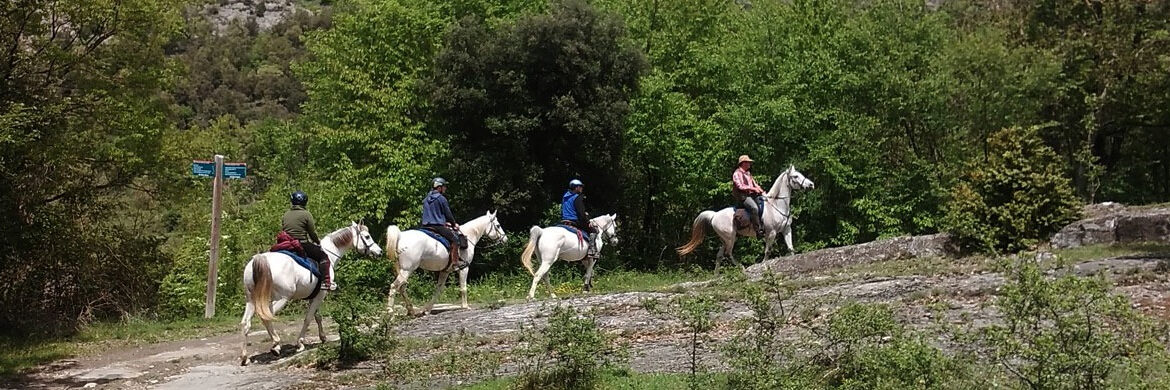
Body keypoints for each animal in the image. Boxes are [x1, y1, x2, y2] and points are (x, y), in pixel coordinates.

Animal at [239, 221, 381, 365]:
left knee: (246, 323)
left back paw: (245, 357)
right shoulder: (321, 294)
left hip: (251, 300)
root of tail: (261, 259)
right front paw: (300, 343)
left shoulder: (315, 295)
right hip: (282, 298)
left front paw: (323, 337)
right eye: (367, 236)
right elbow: (308, 318)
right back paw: (276, 345)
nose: (379, 252)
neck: (329, 254)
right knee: (266, 317)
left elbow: (317, 316)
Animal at [678, 165, 814, 269]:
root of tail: (715, 215)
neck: (776, 205)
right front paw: (763, 264)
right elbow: (767, 251)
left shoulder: (786, 230)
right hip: (730, 238)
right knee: (728, 253)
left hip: (725, 239)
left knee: (719, 256)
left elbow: (791, 249)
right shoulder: (771, 233)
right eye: (795, 176)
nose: (811, 185)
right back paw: (741, 267)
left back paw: (716, 276)